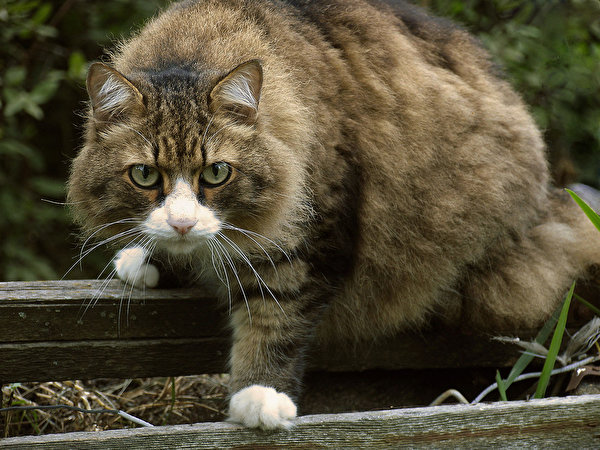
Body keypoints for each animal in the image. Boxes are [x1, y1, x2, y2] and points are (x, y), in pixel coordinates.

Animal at [68, 0, 600, 428]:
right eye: (144, 176)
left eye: (216, 173)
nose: (181, 223)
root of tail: (547, 199)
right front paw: (148, 260)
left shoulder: (311, 241)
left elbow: (273, 324)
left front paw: (258, 397)